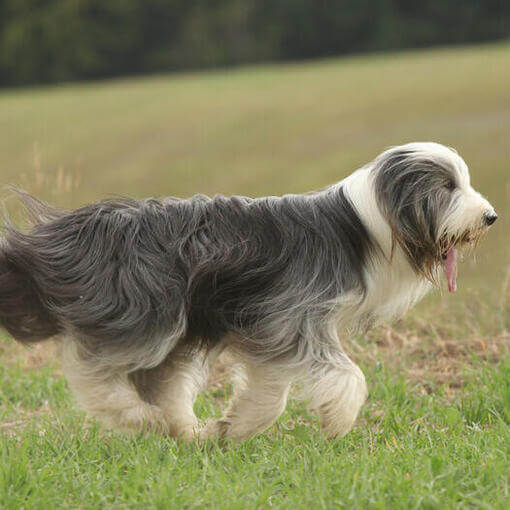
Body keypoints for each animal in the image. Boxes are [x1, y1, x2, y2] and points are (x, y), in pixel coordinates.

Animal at [0, 141, 496, 440]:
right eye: (448, 186)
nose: (490, 217)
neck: (358, 225)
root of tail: (76, 230)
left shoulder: (271, 326)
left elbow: (269, 389)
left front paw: (234, 427)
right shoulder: (290, 315)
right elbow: (347, 377)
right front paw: (337, 420)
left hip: (175, 326)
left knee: (160, 382)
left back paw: (186, 430)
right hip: (147, 313)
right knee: (94, 371)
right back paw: (135, 416)